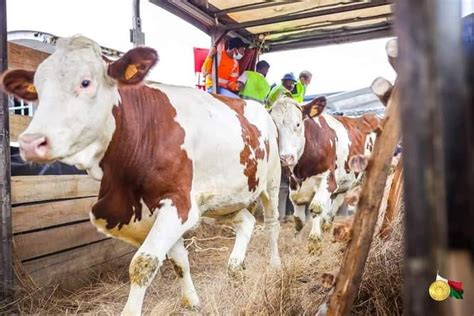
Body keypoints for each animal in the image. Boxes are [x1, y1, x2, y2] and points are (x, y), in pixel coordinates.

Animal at [0, 35, 282, 314]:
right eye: (37, 89)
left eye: (85, 82)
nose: (30, 142)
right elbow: (178, 259)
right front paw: (191, 300)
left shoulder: (179, 204)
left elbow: (143, 262)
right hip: (222, 200)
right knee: (246, 221)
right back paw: (235, 267)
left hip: (272, 183)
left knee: (271, 223)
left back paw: (275, 264)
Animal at [270, 95, 378, 254]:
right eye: (274, 126)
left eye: (298, 124)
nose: (286, 157)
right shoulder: (294, 184)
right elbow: (299, 218)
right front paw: (297, 241)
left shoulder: (328, 179)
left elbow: (316, 208)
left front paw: (314, 243)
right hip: (344, 183)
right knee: (337, 202)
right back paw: (327, 225)